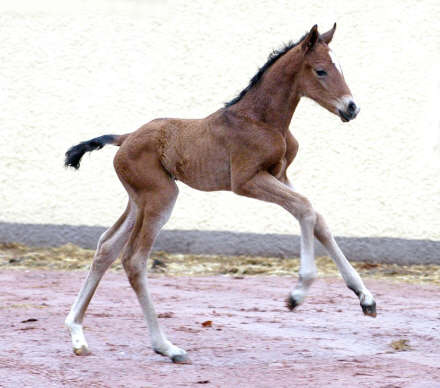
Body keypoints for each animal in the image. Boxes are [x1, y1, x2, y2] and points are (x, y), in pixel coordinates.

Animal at [64, 24, 374, 364]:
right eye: (320, 70)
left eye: (339, 67)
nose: (351, 107)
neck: (261, 119)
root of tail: (125, 137)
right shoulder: (247, 180)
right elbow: (305, 209)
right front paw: (298, 293)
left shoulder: (280, 175)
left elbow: (318, 219)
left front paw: (365, 298)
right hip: (161, 195)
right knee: (134, 259)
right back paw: (166, 347)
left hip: (138, 200)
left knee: (106, 247)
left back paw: (78, 334)